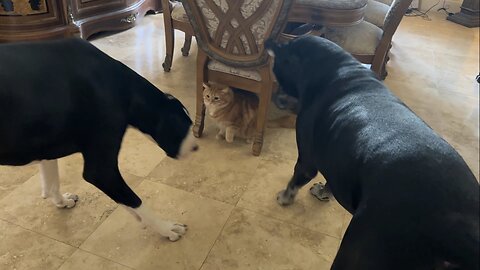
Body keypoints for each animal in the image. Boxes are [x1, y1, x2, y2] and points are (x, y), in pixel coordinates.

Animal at [0, 38, 199, 240]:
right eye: (184, 126)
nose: (196, 147)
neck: (121, 87)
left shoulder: (46, 147)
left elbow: (51, 184)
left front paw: (61, 201)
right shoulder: (101, 172)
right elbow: (136, 202)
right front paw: (166, 228)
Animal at [266, 36, 480, 270]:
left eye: (278, 70)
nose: (275, 98)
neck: (337, 66)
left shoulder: (307, 160)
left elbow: (296, 180)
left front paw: (285, 197)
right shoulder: (342, 160)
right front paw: (323, 191)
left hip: (357, 249)